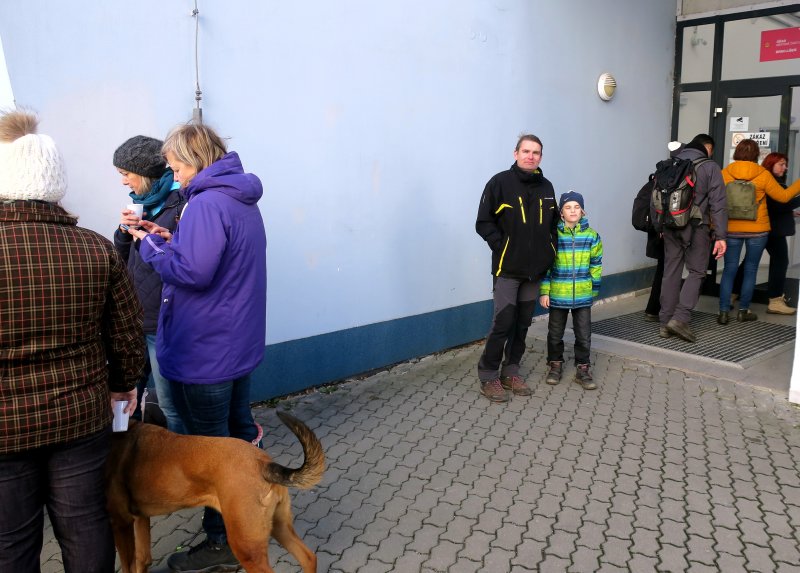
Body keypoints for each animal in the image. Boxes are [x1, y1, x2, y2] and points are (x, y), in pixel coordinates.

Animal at [105, 411, 325, 573]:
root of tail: (264, 464)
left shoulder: (120, 523)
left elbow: (129, 566)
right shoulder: (139, 518)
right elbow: (142, 559)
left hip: (245, 545)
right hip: (278, 526)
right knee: (309, 558)